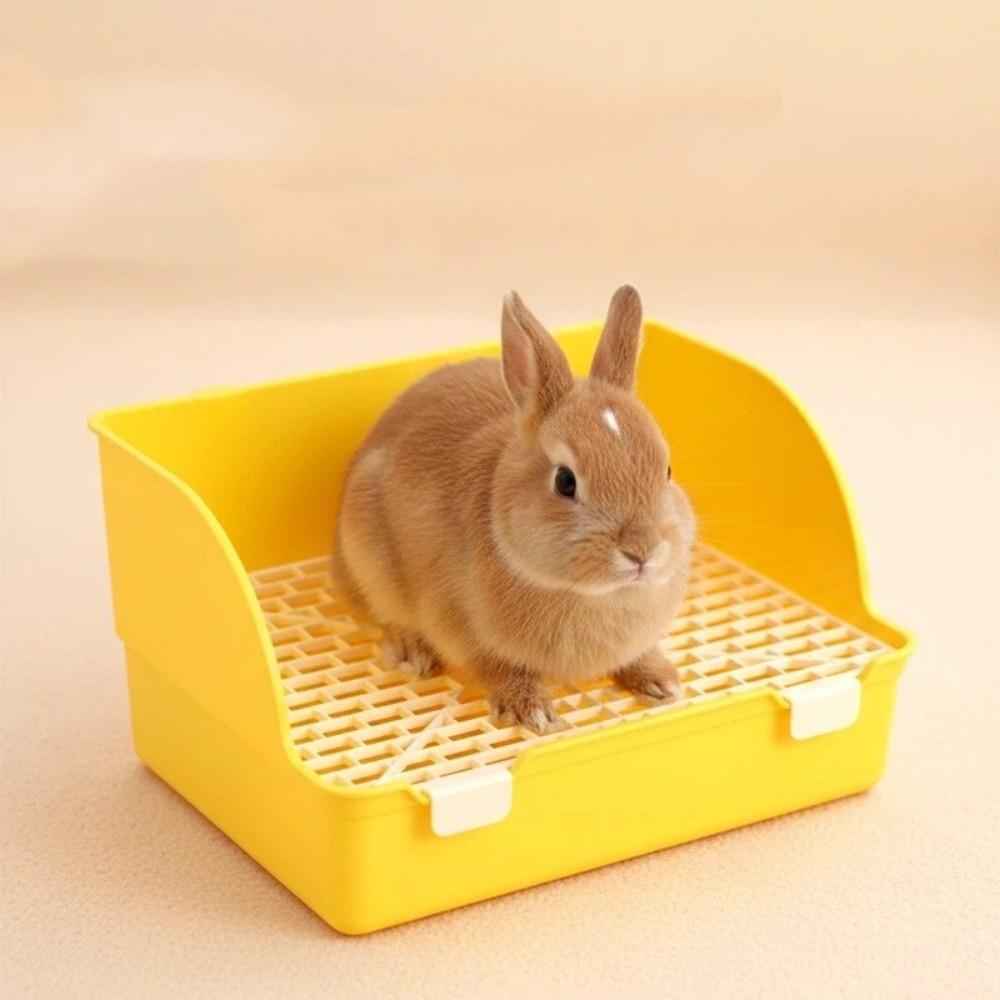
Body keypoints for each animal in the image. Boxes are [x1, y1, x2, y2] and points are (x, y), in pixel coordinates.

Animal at [333, 285, 695, 733]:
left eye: (667, 469)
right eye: (565, 481)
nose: (642, 551)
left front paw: (662, 682)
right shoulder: (460, 626)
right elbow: (496, 665)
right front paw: (531, 710)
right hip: (367, 551)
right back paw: (412, 651)